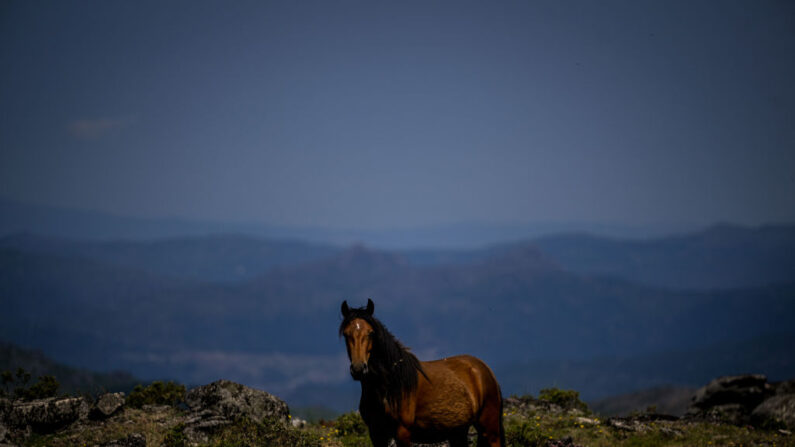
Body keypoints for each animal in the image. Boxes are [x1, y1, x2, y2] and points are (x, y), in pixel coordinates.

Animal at [340, 300, 504, 447]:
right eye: (346, 334)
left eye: (371, 333)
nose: (358, 369)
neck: (389, 386)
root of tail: (484, 369)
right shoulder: (376, 434)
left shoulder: (403, 433)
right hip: (458, 433)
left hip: (490, 431)